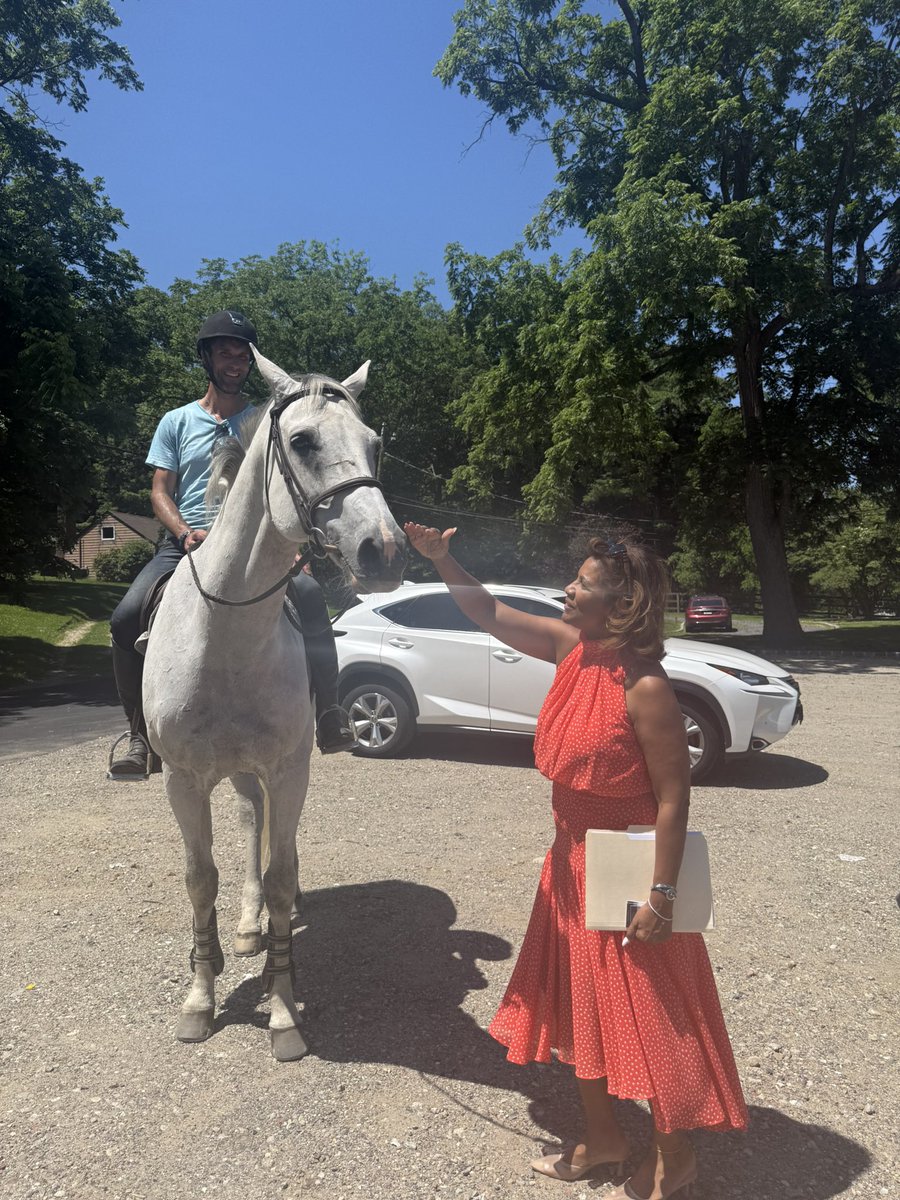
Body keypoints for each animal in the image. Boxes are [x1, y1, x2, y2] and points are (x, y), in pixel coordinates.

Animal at [142, 347, 406, 1061]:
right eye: (303, 441)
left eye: (374, 445)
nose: (384, 550)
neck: (225, 635)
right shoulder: (183, 780)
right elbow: (198, 878)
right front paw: (200, 1000)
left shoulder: (289, 770)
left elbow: (284, 874)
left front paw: (285, 1009)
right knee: (247, 820)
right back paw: (244, 926)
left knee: (260, 828)